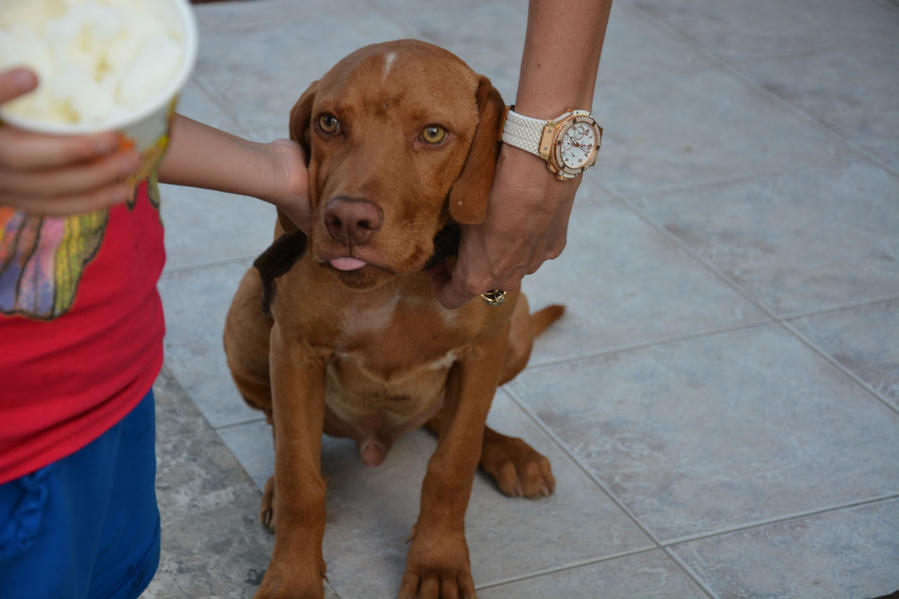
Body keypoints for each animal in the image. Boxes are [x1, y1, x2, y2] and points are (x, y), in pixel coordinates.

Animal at [223, 38, 564, 599]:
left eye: (433, 134)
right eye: (329, 123)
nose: (346, 221)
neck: (399, 282)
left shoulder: (483, 350)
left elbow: (452, 464)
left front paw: (438, 562)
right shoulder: (293, 348)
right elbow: (300, 478)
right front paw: (293, 576)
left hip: (515, 330)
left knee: (451, 420)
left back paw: (509, 452)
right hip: (250, 306)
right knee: (282, 428)